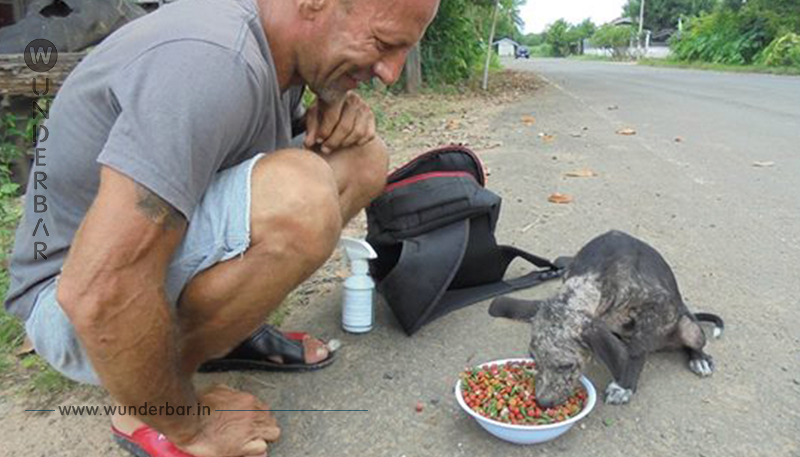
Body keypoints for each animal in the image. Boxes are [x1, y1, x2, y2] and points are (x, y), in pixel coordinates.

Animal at [488, 230, 724, 404]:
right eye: (535, 360)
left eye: (566, 366)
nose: (543, 403)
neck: (596, 277)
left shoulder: (657, 306)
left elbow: (637, 351)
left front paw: (624, 386)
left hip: (689, 328)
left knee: (692, 341)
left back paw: (700, 359)